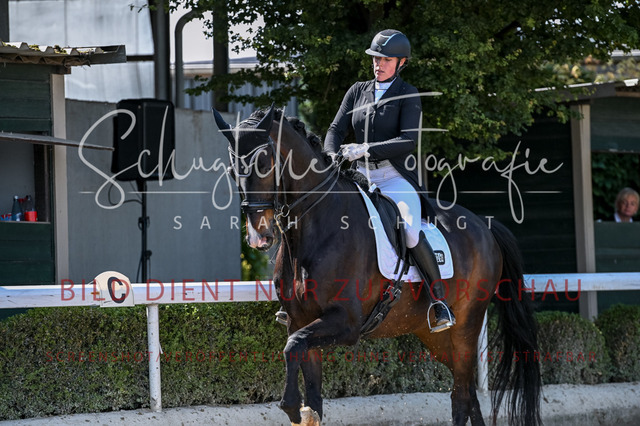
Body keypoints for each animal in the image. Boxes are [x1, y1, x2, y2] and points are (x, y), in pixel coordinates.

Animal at [213, 105, 542, 426]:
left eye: (264, 164)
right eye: (231, 170)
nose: (259, 237)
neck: (315, 227)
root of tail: (484, 225)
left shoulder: (346, 323)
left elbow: (293, 346)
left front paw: (291, 405)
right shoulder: (300, 321)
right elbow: (310, 387)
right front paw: (301, 409)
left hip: (466, 325)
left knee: (461, 397)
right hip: (436, 337)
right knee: (468, 392)